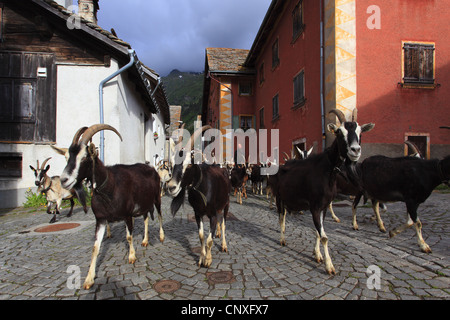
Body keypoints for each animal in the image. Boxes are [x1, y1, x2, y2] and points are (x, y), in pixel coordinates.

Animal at [60, 125, 164, 290]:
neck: (109, 186)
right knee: (146, 218)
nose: (64, 180)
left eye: (85, 158)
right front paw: (88, 279)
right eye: (67, 157)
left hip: (156, 198)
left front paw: (132, 256)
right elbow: (95, 247)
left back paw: (161, 236)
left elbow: (129, 236)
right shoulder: (101, 219)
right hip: (143, 203)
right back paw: (145, 240)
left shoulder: (127, 214)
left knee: (159, 215)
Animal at [166, 125, 230, 268]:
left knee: (223, 223)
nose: (171, 187)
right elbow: (201, 236)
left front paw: (208, 260)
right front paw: (201, 259)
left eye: (189, 164)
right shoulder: (197, 213)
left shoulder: (212, 214)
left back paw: (224, 245)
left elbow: (209, 239)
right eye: (171, 164)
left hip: (226, 204)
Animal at [276, 109, 374, 274]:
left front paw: (317, 255)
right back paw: (282, 239)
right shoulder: (315, 206)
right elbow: (324, 237)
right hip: (279, 198)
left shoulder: (323, 207)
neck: (327, 170)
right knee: (281, 218)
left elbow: (318, 231)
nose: (355, 150)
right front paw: (329, 266)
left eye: (360, 132)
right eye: (339, 132)